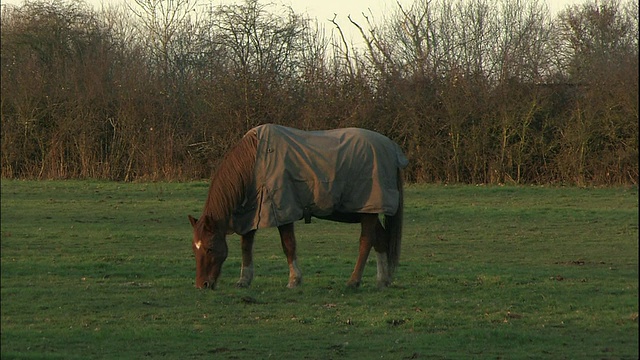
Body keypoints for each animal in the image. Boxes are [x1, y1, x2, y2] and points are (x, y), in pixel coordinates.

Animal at [188, 124, 408, 290]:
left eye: (209, 248)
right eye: (194, 249)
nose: (202, 285)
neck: (255, 162)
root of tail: (390, 147)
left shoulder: (282, 209)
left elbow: (288, 245)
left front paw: (294, 280)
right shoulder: (252, 210)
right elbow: (246, 245)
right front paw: (244, 280)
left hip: (369, 209)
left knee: (366, 241)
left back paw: (354, 281)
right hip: (366, 211)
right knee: (381, 240)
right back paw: (382, 280)